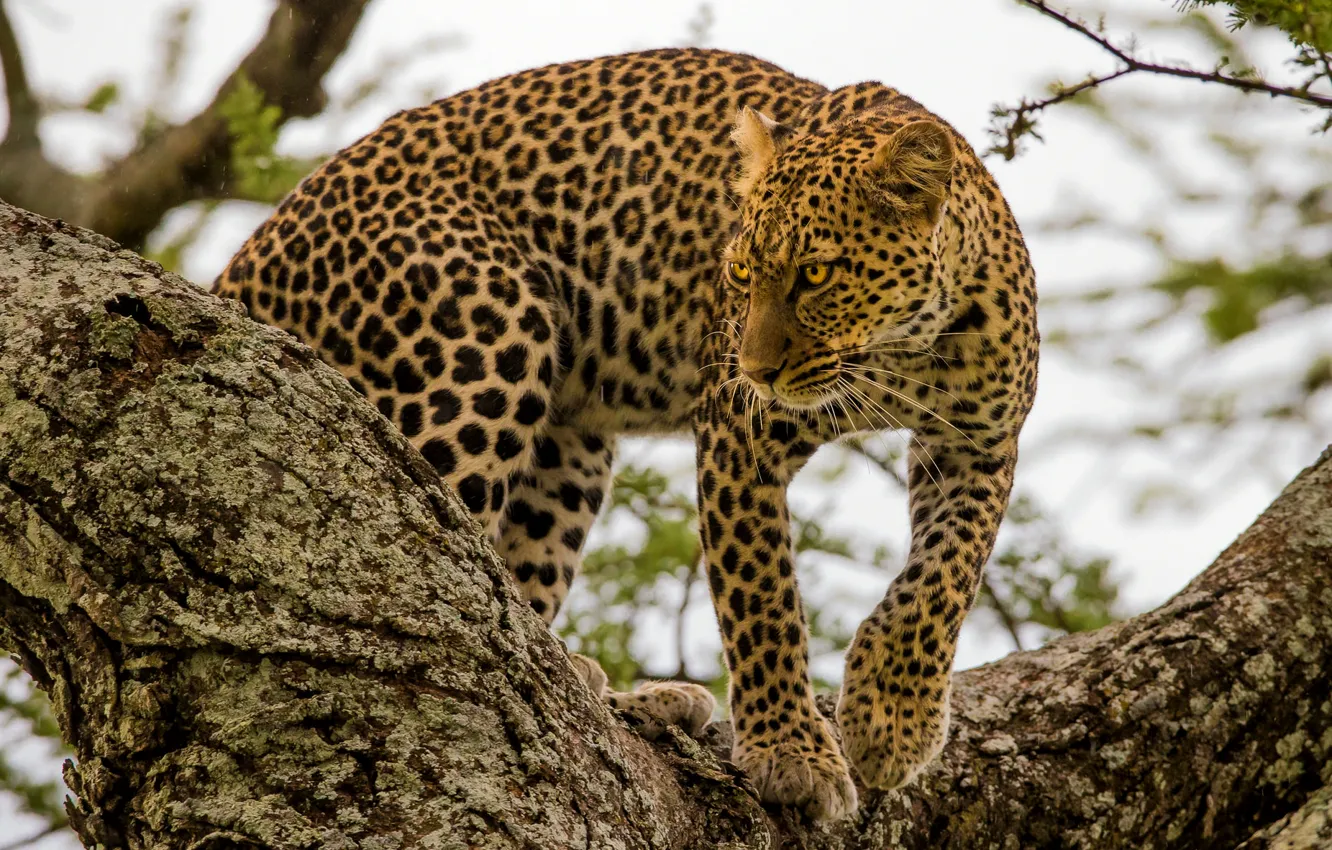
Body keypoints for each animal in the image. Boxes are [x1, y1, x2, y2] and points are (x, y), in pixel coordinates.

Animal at [214, 47, 1038, 822]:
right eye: (741, 274)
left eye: (816, 274)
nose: (755, 369)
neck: (900, 349)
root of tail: (241, 267)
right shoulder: (740, 436)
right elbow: (763, 597)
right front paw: (792, 754)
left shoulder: (982, 448)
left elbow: (945, 577)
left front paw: (890, 719)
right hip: (487, 333)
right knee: (425, 567)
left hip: (570, 448)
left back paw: (624, 693)